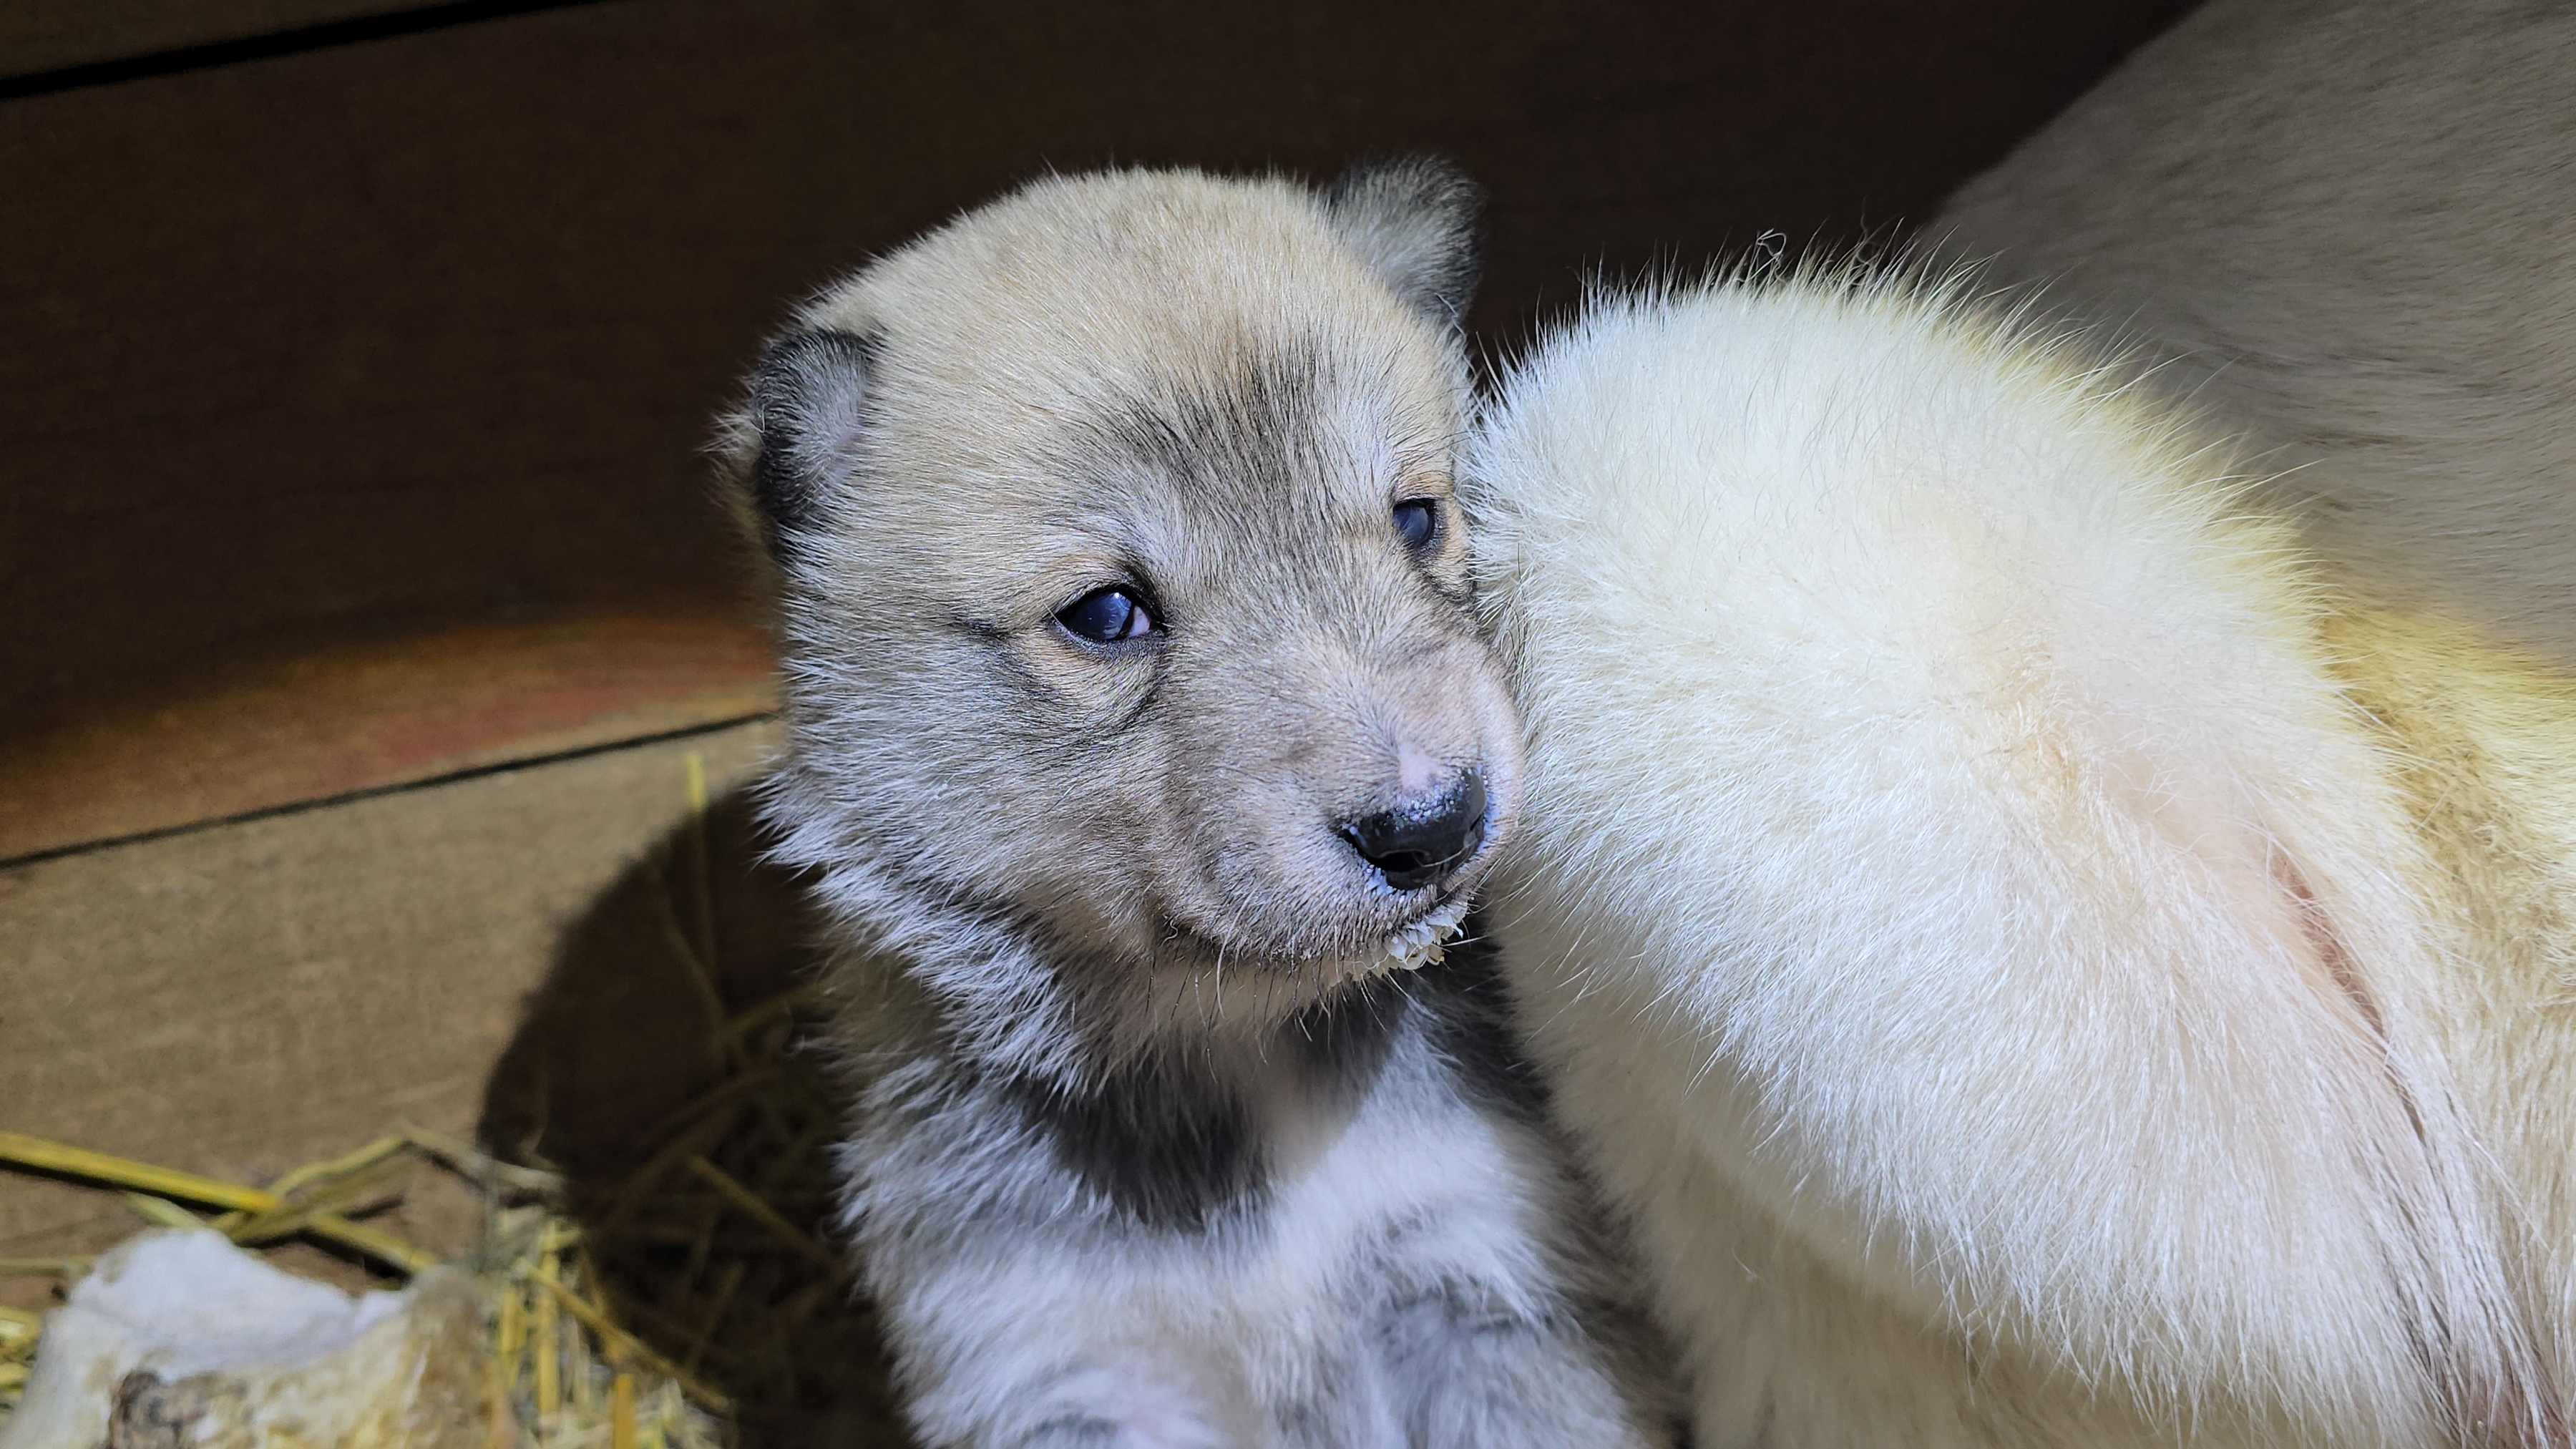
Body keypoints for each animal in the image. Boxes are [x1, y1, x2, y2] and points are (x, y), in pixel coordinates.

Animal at [726, 163, 1679, 1443]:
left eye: (1415, 518)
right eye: (1104, 614)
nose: (1433, 826)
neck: (1238, 1058)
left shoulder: (1488, 1267)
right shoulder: (1051, 1366)